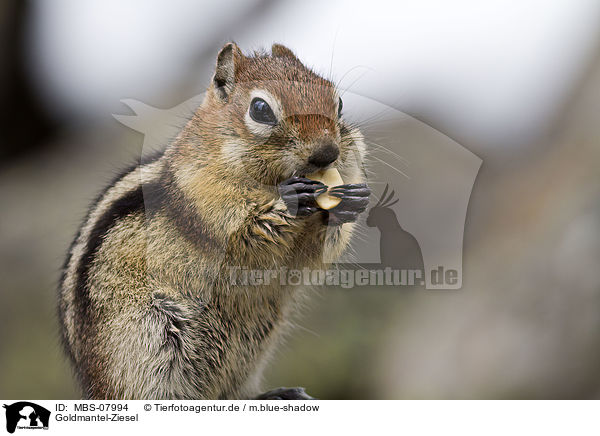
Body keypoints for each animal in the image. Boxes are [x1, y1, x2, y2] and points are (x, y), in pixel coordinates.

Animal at [59, 41, 370, 398]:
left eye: (339, 103)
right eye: (260, 109)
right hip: (149, 346)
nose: (327, 153)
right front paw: (290, 200)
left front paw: (352, 203)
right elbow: (243, 237)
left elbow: (311, 255)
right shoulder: (203, 200)